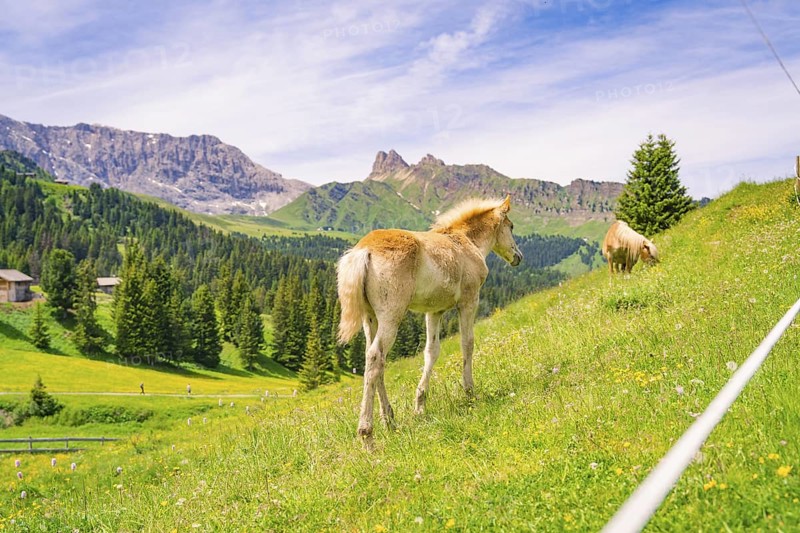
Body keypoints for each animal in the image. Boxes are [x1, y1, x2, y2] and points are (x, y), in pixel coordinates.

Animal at [336, 196, 523, 447]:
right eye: (511, 226)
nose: (518, 257)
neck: (466, 243)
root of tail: (363, 251)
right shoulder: (469, 301)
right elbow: (467, 344)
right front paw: (470, 393)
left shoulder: (434, 312)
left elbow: (431, 352)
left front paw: (420, 407)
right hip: (391, 316)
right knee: (375, 356)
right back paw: (367, 434)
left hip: (370, 318)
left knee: (375, 360)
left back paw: (390, 420)